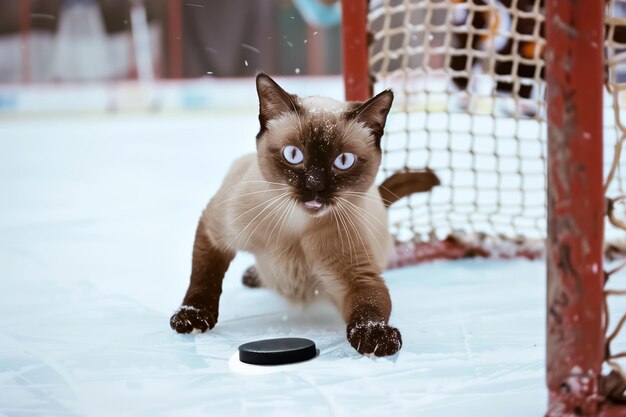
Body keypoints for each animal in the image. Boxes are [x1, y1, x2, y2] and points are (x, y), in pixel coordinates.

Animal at [171, 73, 434, 356]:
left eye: (343, 161)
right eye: (293, 155)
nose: (315, 186)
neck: (295, 225)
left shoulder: (359, 276)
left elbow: (370, 307)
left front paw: (376, 336)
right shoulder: (214, 230)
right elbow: (204, 278)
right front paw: (192, 317)